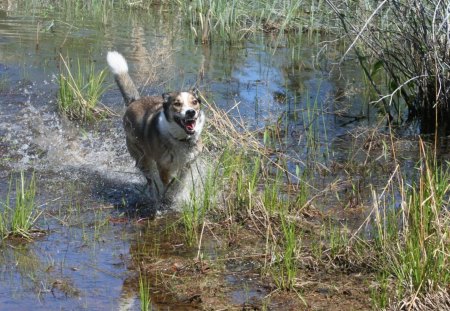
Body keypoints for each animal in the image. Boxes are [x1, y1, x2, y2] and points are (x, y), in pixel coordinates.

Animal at [105, 51, 206, 202]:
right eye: (177, 104)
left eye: (194, 102)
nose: (191, 112)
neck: (180, 139)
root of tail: (133, 102)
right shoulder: (163, 166)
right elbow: (167, 183)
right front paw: (169, 196)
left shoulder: (188, 164)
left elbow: (180, 181)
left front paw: (177, 193)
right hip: (142, 158)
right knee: (150, 179)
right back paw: (153, 193)